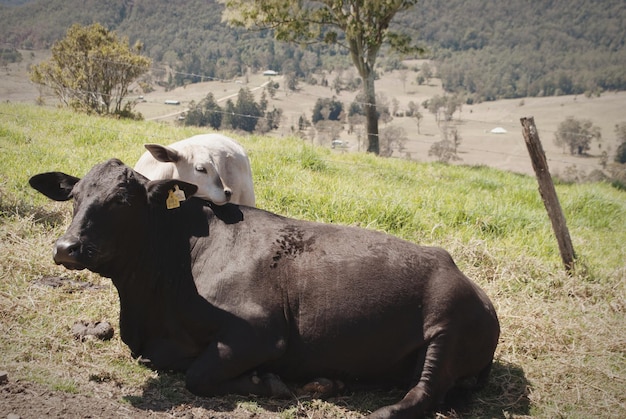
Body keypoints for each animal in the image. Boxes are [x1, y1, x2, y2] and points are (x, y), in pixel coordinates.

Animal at [29, 159, 500, 418]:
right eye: (75, 197)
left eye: (122, 201)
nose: (67, 247)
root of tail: (456, 268)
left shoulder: (259, 332)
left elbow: (199, 375)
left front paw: (268, 383)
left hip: (447, 327)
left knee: (426, 392)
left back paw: (376, 407)